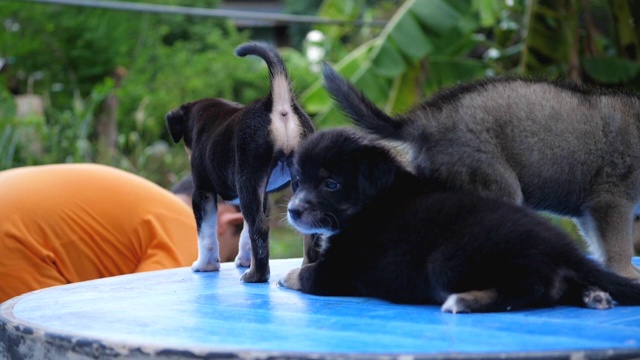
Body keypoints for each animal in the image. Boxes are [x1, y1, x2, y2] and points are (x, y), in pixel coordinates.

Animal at [165, 42, 316, 282]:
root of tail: (277, 104)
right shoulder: (262, 195)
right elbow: (245, 235)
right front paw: (244, 259)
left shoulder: (203, 193)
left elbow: (206, 235)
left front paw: (205, 265)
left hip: (247, 180)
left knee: (260, 227)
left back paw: (256, 275)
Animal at [278, 129, 640, 312]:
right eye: (296, 181)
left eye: (330, 184)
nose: (293, 211)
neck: (371, 201)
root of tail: (561, 248)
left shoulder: (339, 270)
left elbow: (306, 275)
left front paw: (288, 276)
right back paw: (594, 295)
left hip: (448, 260)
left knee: (532, 288)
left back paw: (465, 300)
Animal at [322, 64, 640, 278]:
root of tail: (423, 122)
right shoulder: (611, 200)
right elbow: (619, 245)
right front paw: (627, 274)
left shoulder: (590, 211)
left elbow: (601, 245)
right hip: (495, 183)